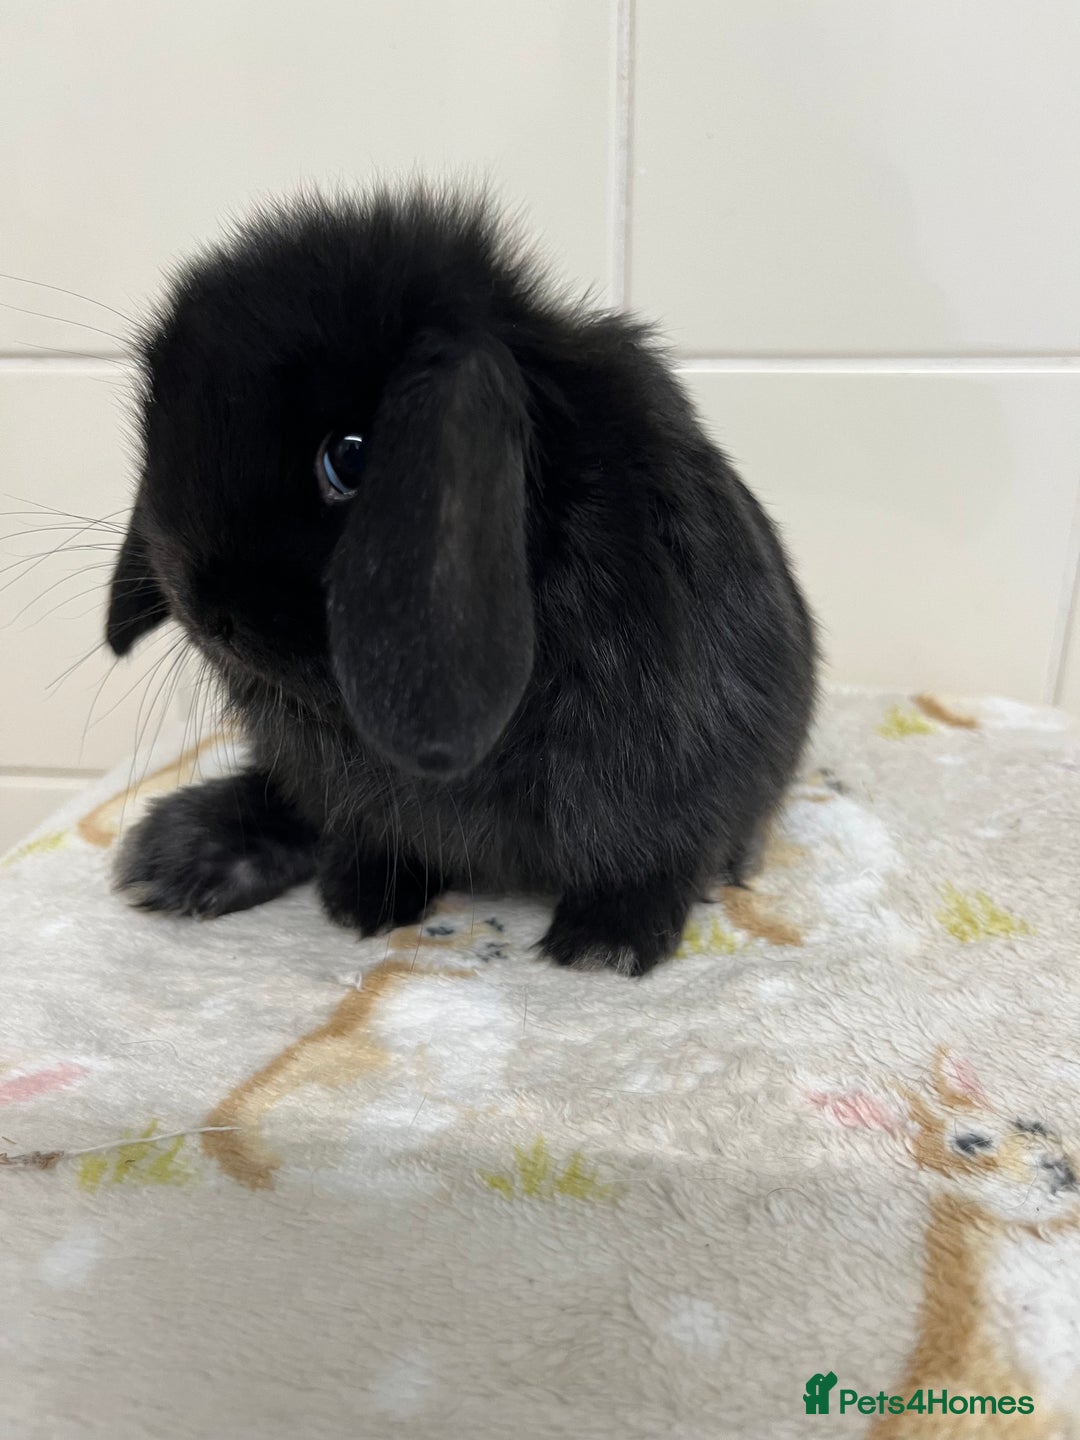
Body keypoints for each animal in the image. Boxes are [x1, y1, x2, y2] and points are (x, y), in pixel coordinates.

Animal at [106, 184, 816, 975]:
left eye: (351, 458)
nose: (206, 610)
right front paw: (363, 895)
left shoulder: (671, 769)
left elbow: (653, 859)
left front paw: (604, 944)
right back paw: (177, 855)